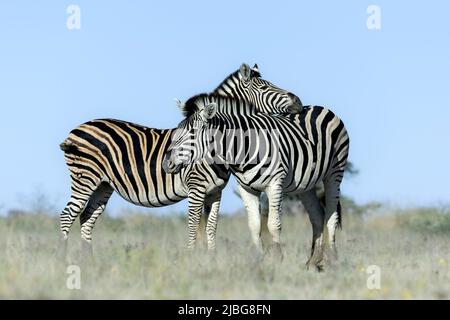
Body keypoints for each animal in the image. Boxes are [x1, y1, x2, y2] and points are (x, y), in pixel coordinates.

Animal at [58, 63, 300, 256]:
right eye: (265, 87)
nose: (298, 101)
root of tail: (75, 130)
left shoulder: (215, 191)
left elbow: (211, 227)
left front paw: (211, 259)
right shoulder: (196, 188)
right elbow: (193, 226)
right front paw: (192, 258)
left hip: (103, 185)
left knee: (86, 218)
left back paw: (88, 261)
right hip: (85, 179)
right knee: (67, 216)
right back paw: (65, 260)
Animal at [163, 95, 350, 270]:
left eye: (192, 133)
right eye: (177, 131)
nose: (166, 163)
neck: (242, 151)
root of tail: (319, 107)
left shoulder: (275, 184)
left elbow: (273, 225)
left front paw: (278, 259)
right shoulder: (246, 188)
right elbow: (254, 225)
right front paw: (260, 260)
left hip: (334, 173)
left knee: (331, 216)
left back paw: (333, 260)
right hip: (306, 185)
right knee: (317, 216)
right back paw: (313, 261)